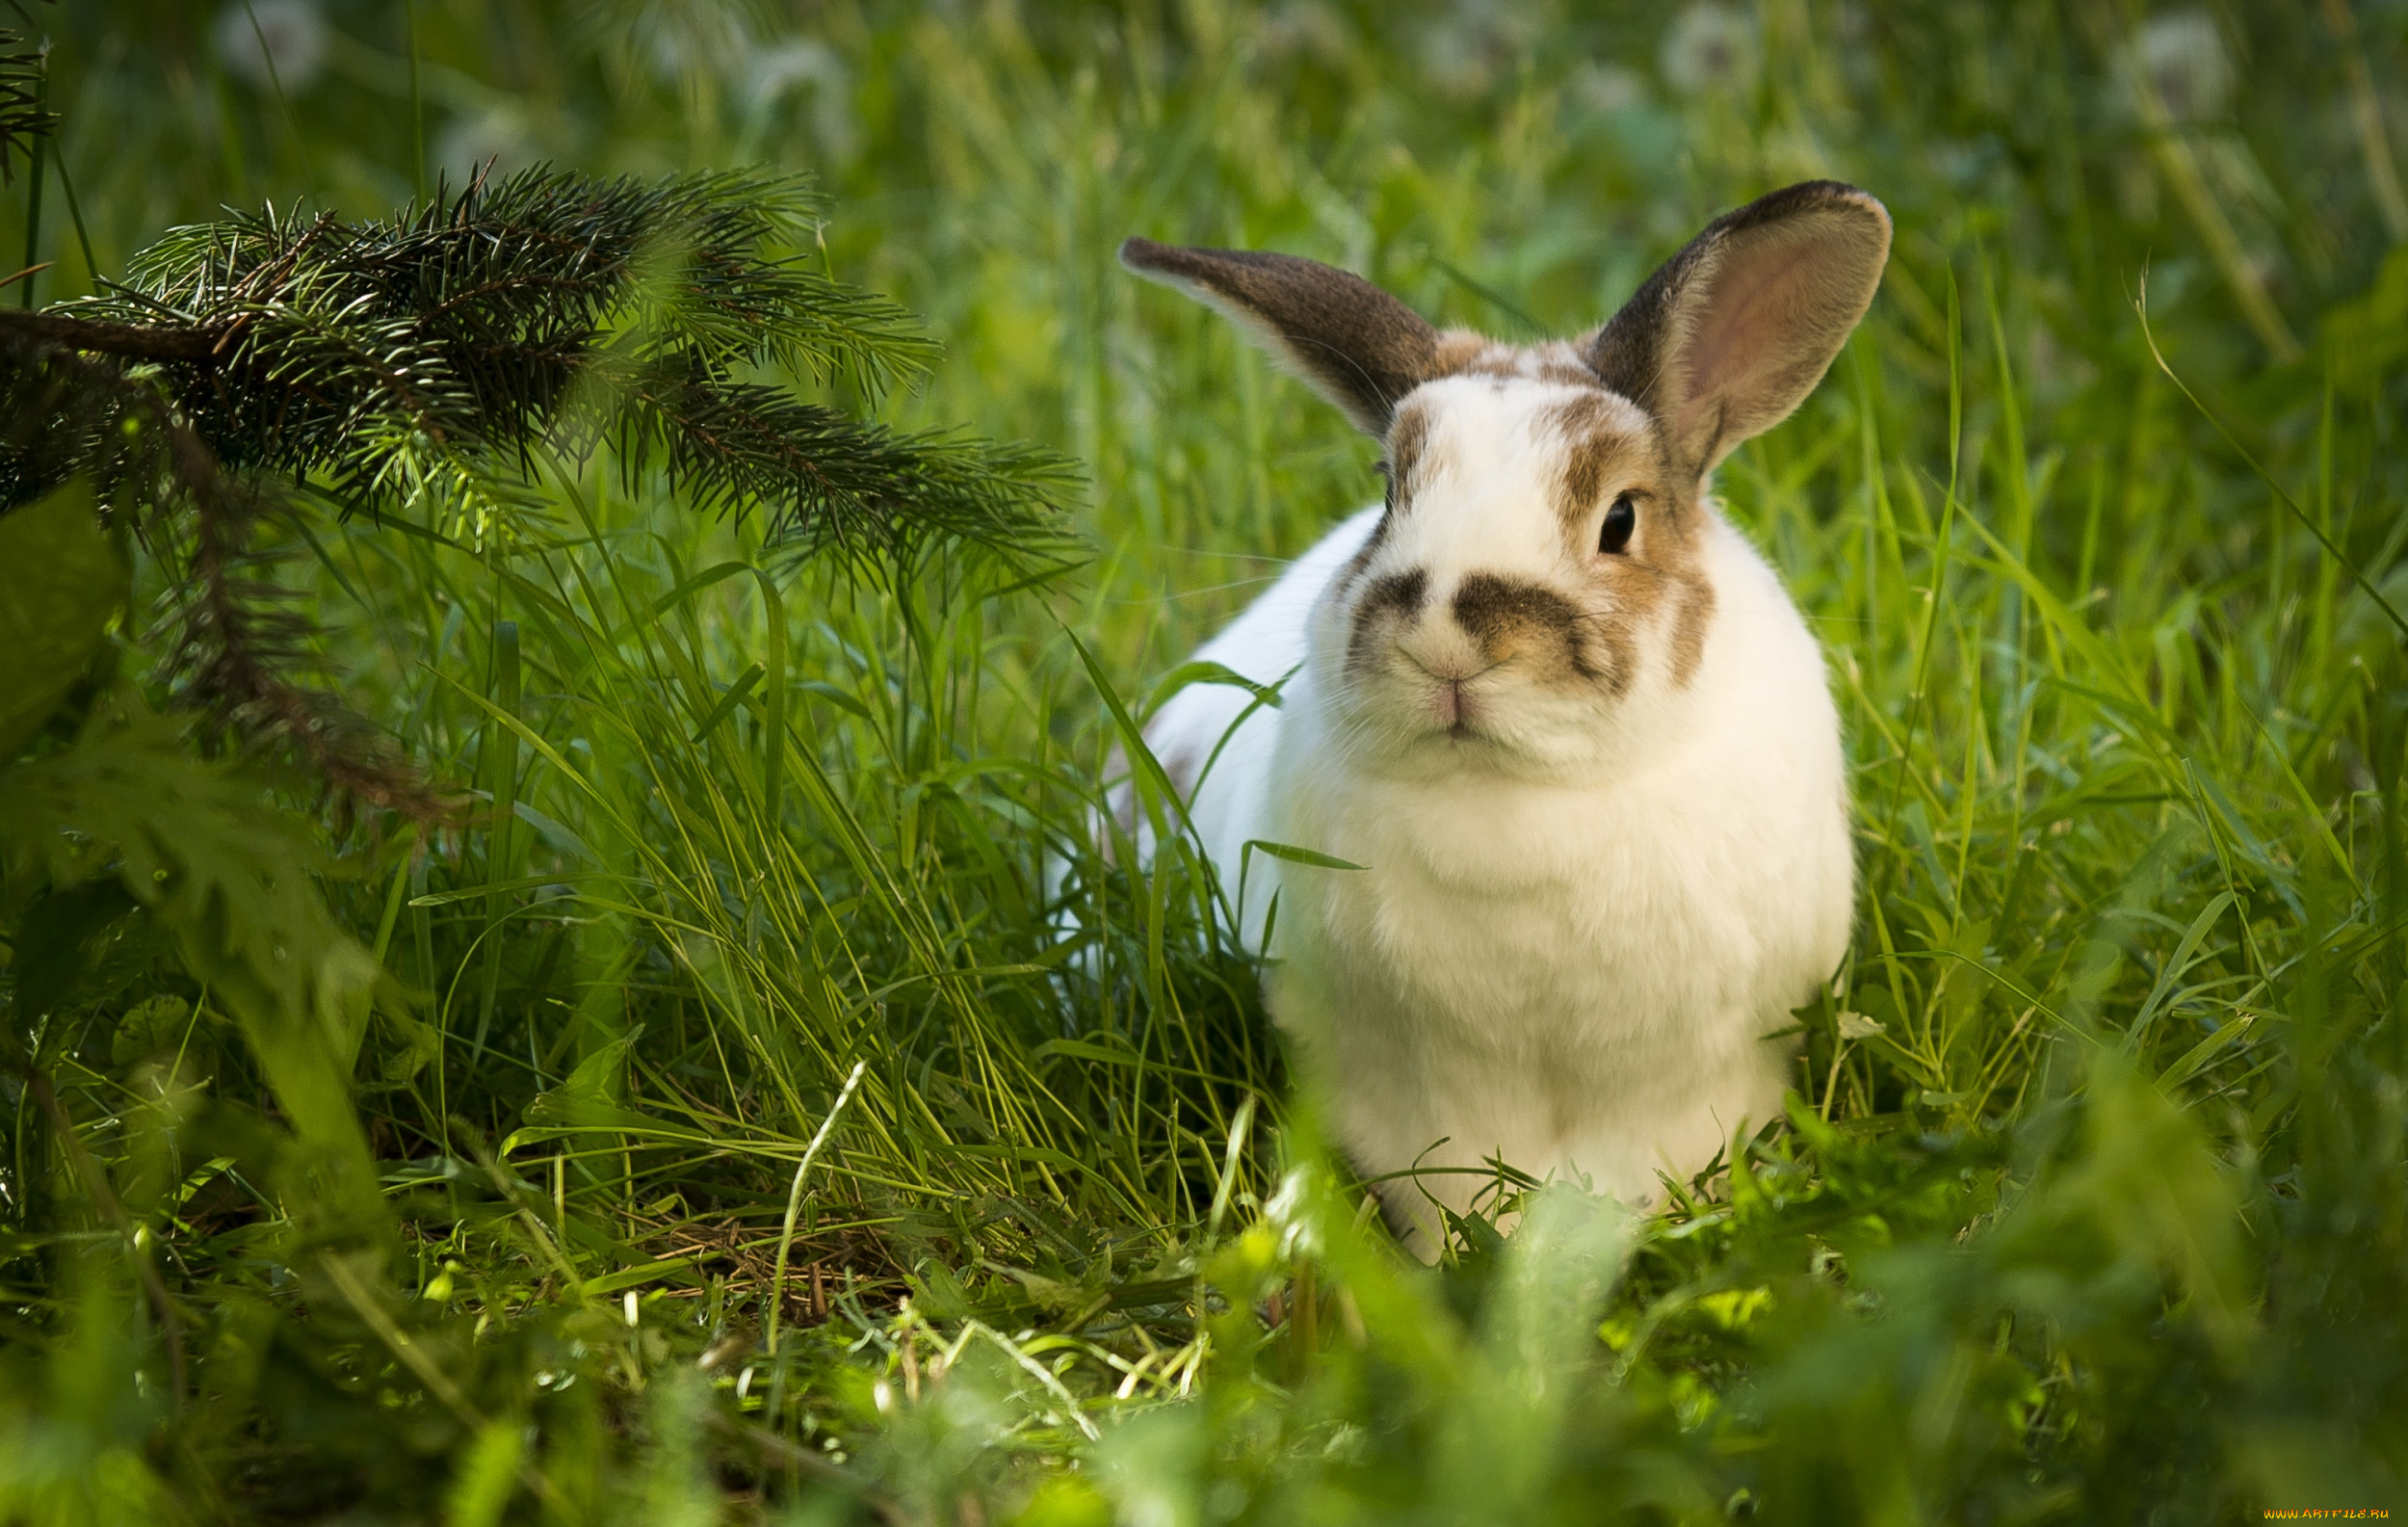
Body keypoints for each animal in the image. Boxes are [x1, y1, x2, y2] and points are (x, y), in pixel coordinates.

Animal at [1117, 181, 1888, 1252]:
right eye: (1388, 493)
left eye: (1619, 521)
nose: (1446, 637)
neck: (1514, 793)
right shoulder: (1408, 1088)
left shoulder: (1702, 1072)